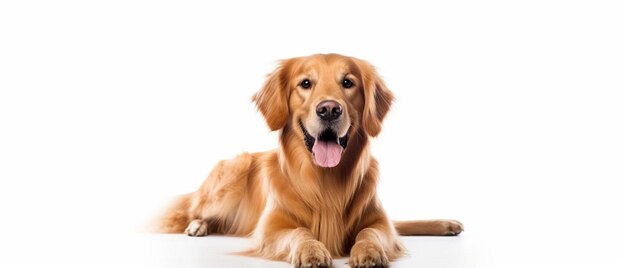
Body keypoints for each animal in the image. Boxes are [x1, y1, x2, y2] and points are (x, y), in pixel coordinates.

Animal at [154, 53, 460, 266]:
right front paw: (311, 251)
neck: (325, 179)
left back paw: (447, 225)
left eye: (348, 83)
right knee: (191, 212)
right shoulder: (270, 229)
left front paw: (369, 252)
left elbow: (371, 233)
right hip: (231, 174)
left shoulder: (381, 224)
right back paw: (197, 226)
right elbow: (300, 231)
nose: (329, 109)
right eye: (305, 83)